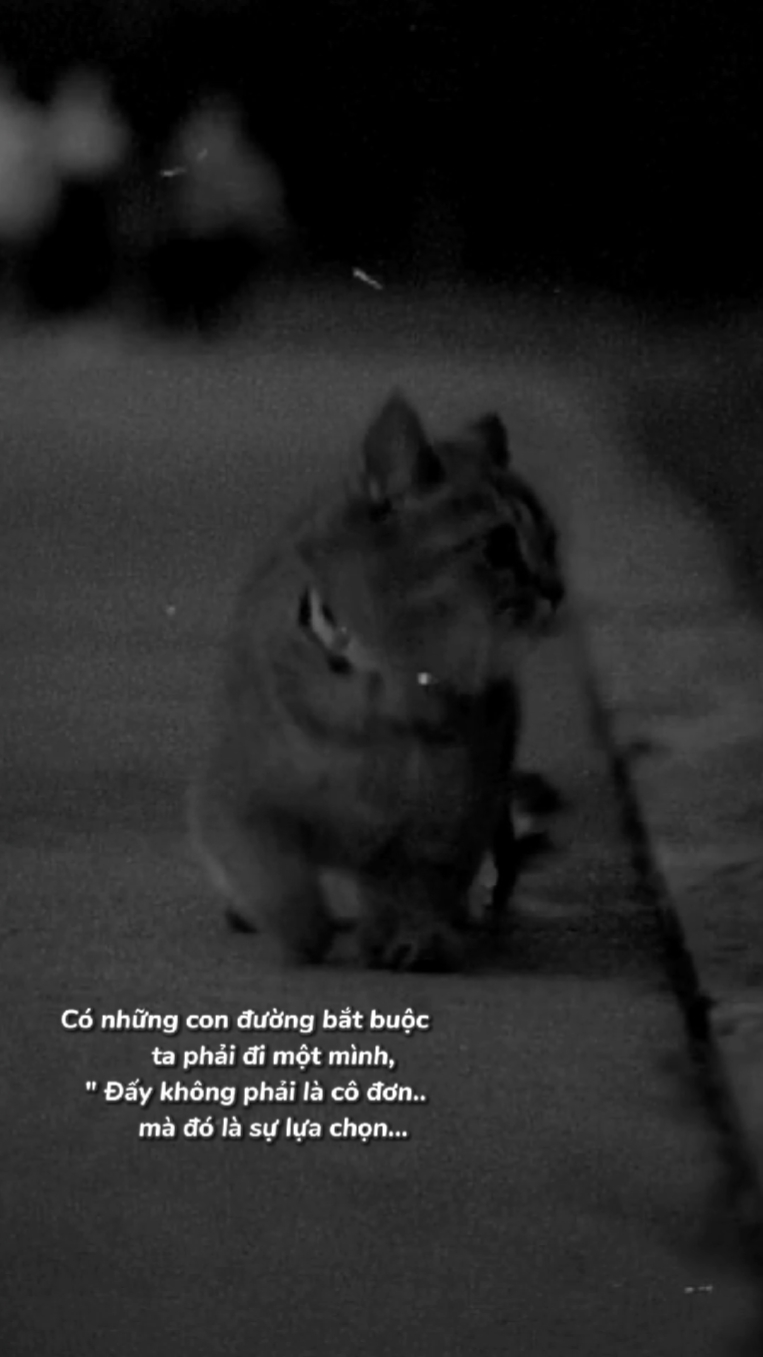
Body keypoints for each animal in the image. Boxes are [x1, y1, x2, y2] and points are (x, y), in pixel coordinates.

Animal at [188, 392, 565, 970]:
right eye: (500, 546)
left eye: (551, 542)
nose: (555, 590)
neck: (393, 688)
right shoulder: (236, 798)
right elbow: (275, 875)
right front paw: (303, 930)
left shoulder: (448, 821)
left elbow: (419, 885)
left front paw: (412, 934)